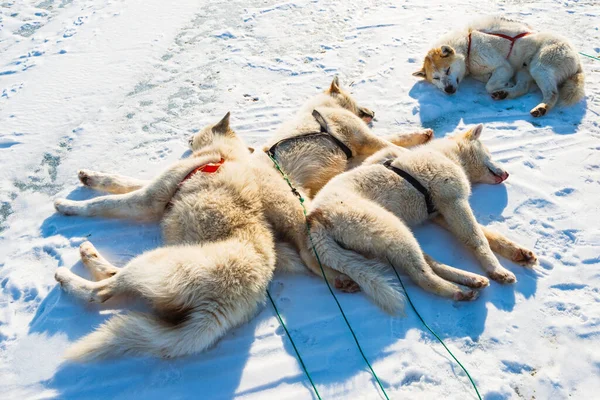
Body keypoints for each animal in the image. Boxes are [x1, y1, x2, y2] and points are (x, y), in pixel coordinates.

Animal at [414, 17, 584, 117]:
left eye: (448, 70)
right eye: (436, 78)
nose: (448, 89)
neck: (468, 46)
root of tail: (577, 59)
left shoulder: (504, 67)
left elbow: (489, 85)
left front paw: (502, 83)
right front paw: (503, 85)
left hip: (539, 66)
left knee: (553, 93)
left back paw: (541, 107)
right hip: (525, 70)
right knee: (523, 87)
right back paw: (504, 94)